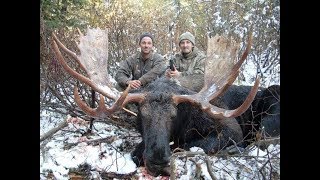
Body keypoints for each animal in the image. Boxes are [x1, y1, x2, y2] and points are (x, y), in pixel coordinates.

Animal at [51, 27, 278, 176]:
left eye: (174, 115)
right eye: (141, 113)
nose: (158, 160)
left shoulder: (231, 129)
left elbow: (193, 145)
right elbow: (136, 152)